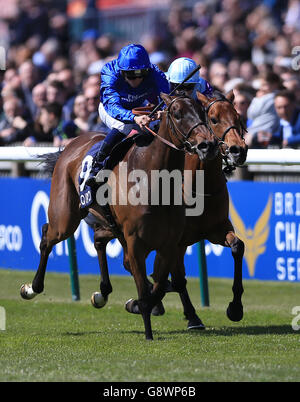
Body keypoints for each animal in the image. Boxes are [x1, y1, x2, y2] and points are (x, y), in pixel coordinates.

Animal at [21, 93, 218, 340]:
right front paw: (148, 331)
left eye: (203, 111)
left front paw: (142, 304)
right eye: (177, 113)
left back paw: (102, 292)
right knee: (48, 235)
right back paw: (32, 288)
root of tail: (71, 145)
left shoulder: (169, 243)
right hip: (65, 218)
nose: (207, 145)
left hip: (111, 225)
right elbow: (145, 287)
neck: (152, 178)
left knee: (98, 241)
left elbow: (161, 285)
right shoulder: (135, 241)